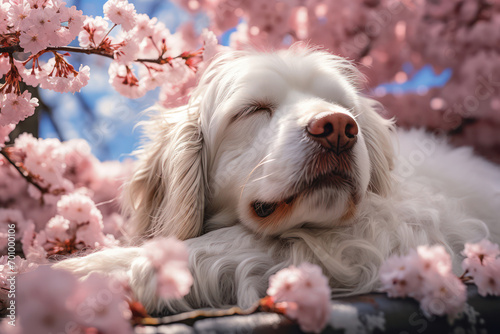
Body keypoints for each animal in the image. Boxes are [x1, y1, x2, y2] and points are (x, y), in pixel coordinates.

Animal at [55, 45, 500, 314]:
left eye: (340, 106)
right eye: (253, 110)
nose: (338, 128)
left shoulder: (401, 224)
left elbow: (219, 244)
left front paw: (84, 272)